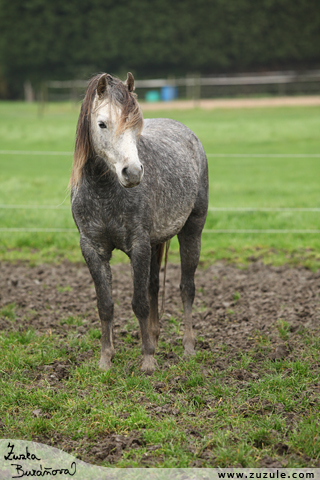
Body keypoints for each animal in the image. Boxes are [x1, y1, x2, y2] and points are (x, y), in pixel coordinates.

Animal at [70, 73, 209, 374]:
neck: (104, 192)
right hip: (157, 241)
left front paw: (147, 360)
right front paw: (105, 359)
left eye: (136, 125)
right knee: (155, 285)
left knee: (186, 287)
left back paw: (188, 347)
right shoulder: (92, 249)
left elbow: (140, 303)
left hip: (192, 230)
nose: (132, 173)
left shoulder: (139, 245)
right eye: (102, 123)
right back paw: (155, 337)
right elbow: (106, 304)